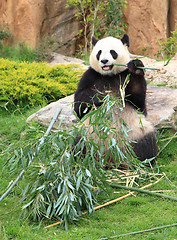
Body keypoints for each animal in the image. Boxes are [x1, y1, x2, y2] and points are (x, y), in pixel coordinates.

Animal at [73, 34, 158, 167]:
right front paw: (102, 94)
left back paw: (139, 163)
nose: (104, 61)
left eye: (112, 52)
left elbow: (138, 102)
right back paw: (84, 163)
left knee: (146, 145)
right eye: (99, 53)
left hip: (136, 132)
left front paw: (136, 68)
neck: (110, 75)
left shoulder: (124, 76)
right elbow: (79, 106)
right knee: (80, 145)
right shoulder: (90, 76)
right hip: (88, 133)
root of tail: (111, 156)